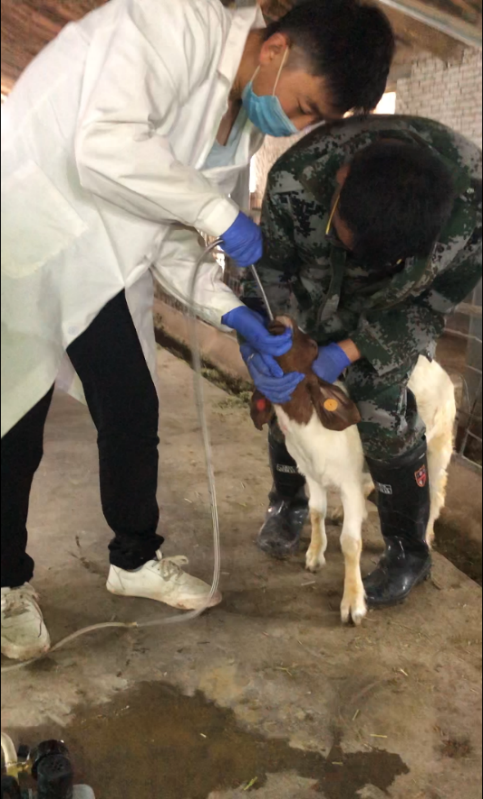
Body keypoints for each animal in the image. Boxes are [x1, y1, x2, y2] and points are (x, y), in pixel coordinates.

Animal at [250, 316, 457, 626]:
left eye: (311, 345)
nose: (282, 320)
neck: (311, 427)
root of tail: (440, 369)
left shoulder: (347, 482)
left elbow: (350, 542)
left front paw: (353, 603)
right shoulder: (312, 473)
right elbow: (315, 511)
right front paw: (315, 554)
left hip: (438, 445)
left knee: (435, 493)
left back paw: (426, 537)